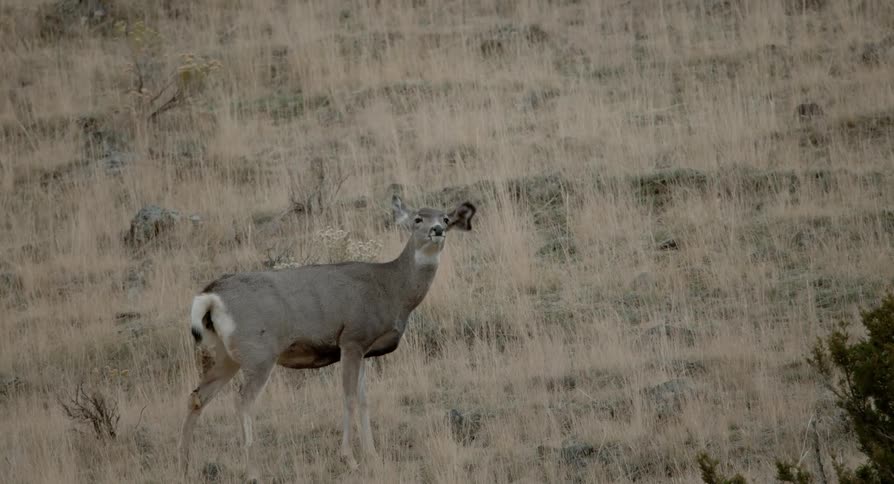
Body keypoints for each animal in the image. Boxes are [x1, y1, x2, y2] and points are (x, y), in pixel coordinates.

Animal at [179, 194, 476, 479]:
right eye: (417, 219)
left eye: (446, 218)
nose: (437, 230)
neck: (392, 290)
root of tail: (212, 295)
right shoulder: (352, 339)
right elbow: (349, 397)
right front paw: (350, 459)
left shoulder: (365, 349)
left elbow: (364, 400)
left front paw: (372, 455)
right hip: (258, 353)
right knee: (242, 401)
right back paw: (252, 471)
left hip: (224, 355)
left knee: (196, 396)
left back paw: (187, 465)